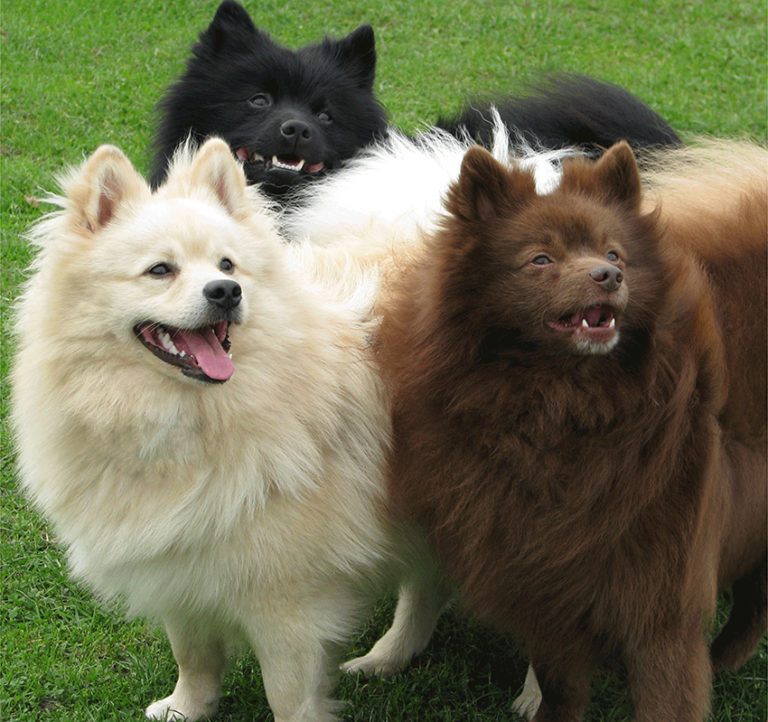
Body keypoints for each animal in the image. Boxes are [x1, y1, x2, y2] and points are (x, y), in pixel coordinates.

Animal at [10, 138, 449, 721]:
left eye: (227, 263)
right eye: (160, 270)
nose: (226, 291)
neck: (186, 421)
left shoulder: (288, 602)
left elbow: (287, 696)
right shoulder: (180, 560)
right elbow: (193, 654)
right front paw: (187, 707)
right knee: (427, 587)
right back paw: (389, 658)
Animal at [363, 140, 767, 720]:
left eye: (615, 254)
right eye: (541, 259)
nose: (607, 276)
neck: (561, 409)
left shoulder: (662, 600)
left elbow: (667, 696)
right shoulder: (549, 585)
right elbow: (558, 690)